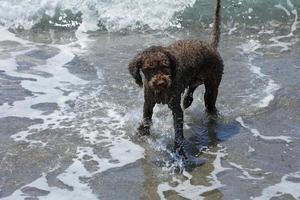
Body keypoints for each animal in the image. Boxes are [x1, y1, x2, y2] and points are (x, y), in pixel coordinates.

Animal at [128, 0, 223, 153]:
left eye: (165, 66)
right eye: (149, 69)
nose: (161, 82)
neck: (160, 91)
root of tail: (211, 46)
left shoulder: (176, 109)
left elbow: (178, 130)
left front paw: (178, 149)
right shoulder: (148, 102)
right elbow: (146, 119)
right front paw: (143, 132)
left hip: (212, 84)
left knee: (210, 102)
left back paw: (211, 116)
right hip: (197, 78)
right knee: (193, 86)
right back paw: (187, 100)